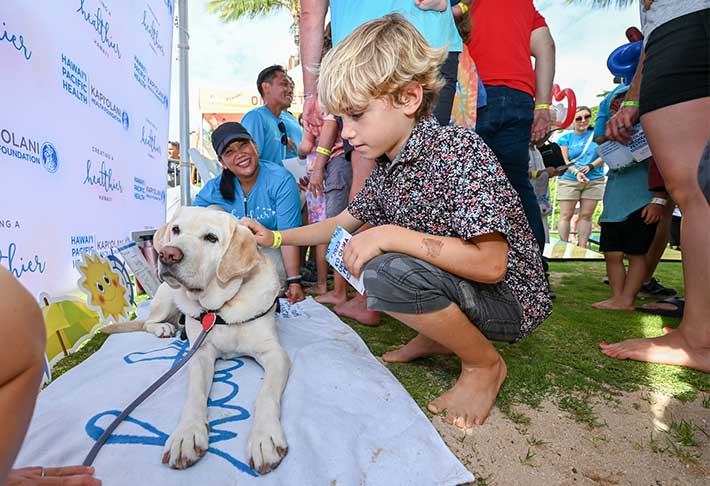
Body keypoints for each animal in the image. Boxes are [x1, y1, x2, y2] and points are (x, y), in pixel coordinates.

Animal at [102, 206, 290, 474]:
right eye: (176, 229)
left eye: (211, 238)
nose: (168, 254)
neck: (220, 309)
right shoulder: (200, 353)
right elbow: (195, 394)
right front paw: (187, 434)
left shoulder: (274, 354)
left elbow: (266, 393)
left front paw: (264, 437)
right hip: (167, 297)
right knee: (148, 322)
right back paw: (164, 328)